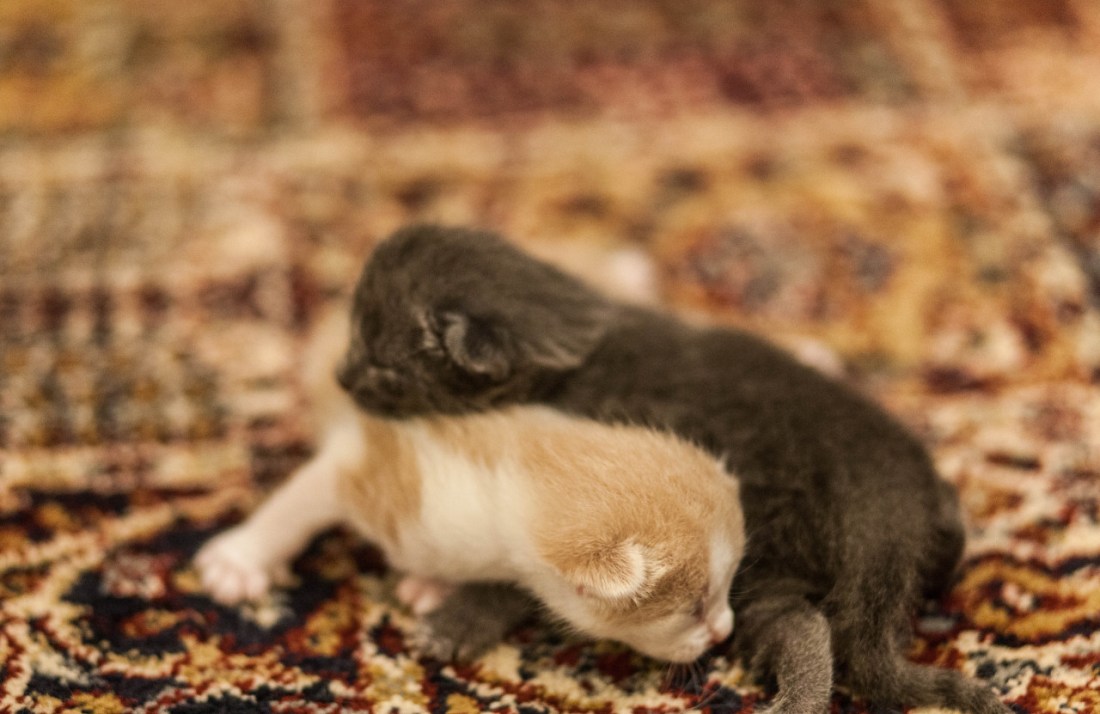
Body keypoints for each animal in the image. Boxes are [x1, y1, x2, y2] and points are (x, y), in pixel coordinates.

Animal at [194, 308, 745, 664]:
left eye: (725, 590)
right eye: (695, 607)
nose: (724, 632)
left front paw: (433, 585)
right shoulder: (374, 458)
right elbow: (297, 503)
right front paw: (238, 563)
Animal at [337, 224, 1010, 714]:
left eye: (381, 365)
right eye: (351, 337)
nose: (341, 379)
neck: (578, 334)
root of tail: (888, 509)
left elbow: (520, 574)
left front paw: (453, 617)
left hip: (767, 551)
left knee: (806, 629)